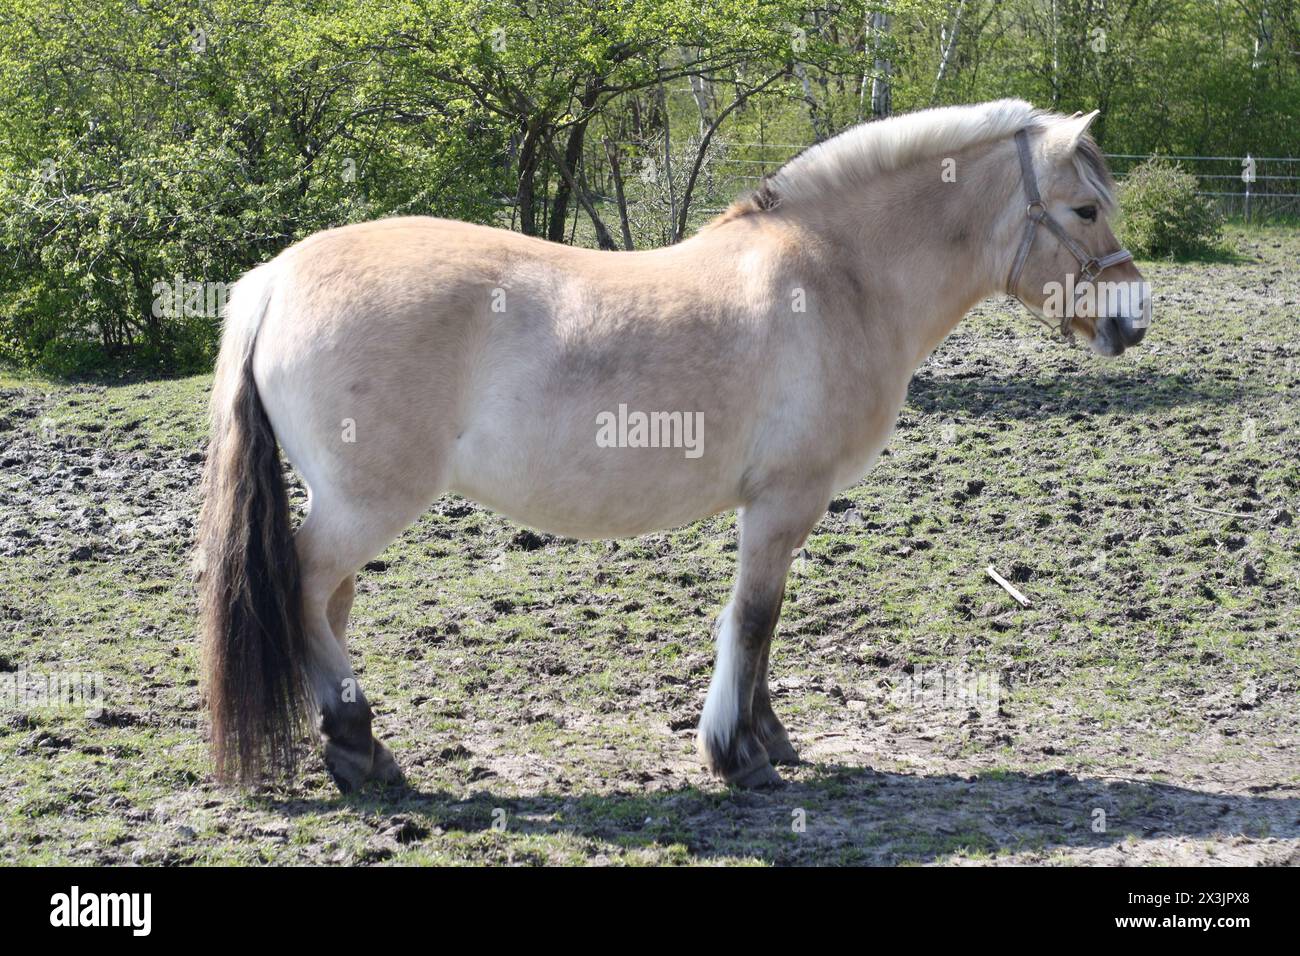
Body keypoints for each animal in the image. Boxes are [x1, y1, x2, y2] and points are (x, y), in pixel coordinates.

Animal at [197, 99, 1151, 793]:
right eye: (1084, 208)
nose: (1132, 320)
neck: (837, 274)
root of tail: (273, 280)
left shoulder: (780, 509)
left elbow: (761, 624)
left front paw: (768, 737)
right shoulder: (783, 501)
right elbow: (754, 618)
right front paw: (738, 753)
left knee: (327, 604)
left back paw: (349, 748)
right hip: (365, 504)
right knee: (305, 584)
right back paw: (361, 746)